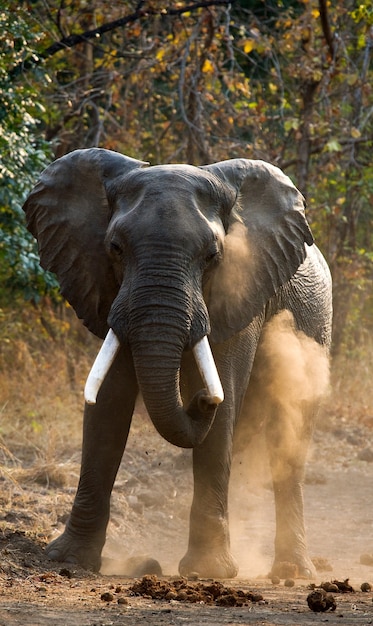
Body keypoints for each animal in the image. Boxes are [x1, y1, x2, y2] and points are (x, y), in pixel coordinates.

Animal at [22, 146, 332, 576]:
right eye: (115, 248)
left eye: (213, 255)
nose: (200, 401)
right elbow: (108, 405)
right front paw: (70, 559)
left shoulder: (240, 290)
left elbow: (225, 399)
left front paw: (209, 571)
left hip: (315, 332)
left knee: (288, 438)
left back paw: (292, 574)